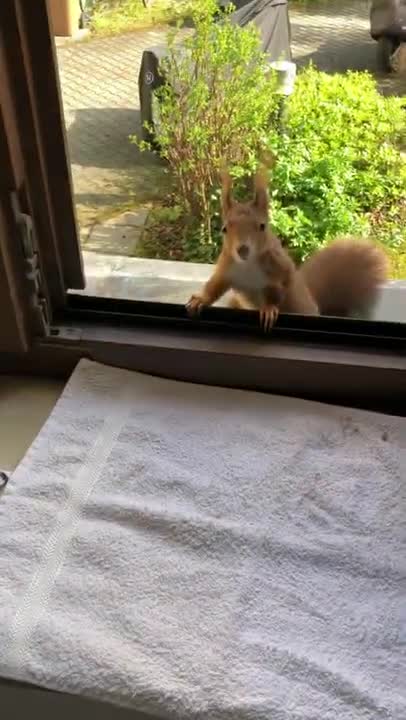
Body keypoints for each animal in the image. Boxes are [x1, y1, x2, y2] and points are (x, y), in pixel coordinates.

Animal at [186, 171, 388, 330]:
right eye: (224, 229)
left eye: (262, 226)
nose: (242, 249)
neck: (248, 265)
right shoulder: (227, 267)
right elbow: (215, 285)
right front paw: (200, 300)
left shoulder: (277, 270)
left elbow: (276, 291)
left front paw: (268, 310)